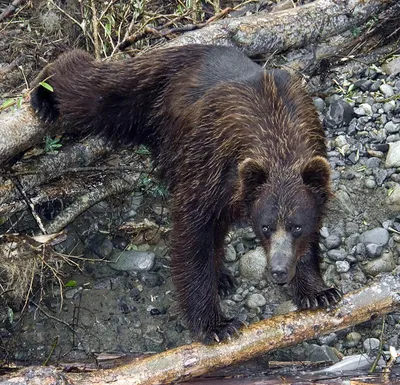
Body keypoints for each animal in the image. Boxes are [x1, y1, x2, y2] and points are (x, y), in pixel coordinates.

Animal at [31, 45, 340, 342]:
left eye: (297, 226)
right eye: (265, 226)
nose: (278, 271)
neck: (277, 134)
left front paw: (318, 291)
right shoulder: (211, 164)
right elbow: (193, 233)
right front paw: (216, 324)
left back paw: (222, 277)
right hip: (147, 91)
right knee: (95, 91)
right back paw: (44, 91)